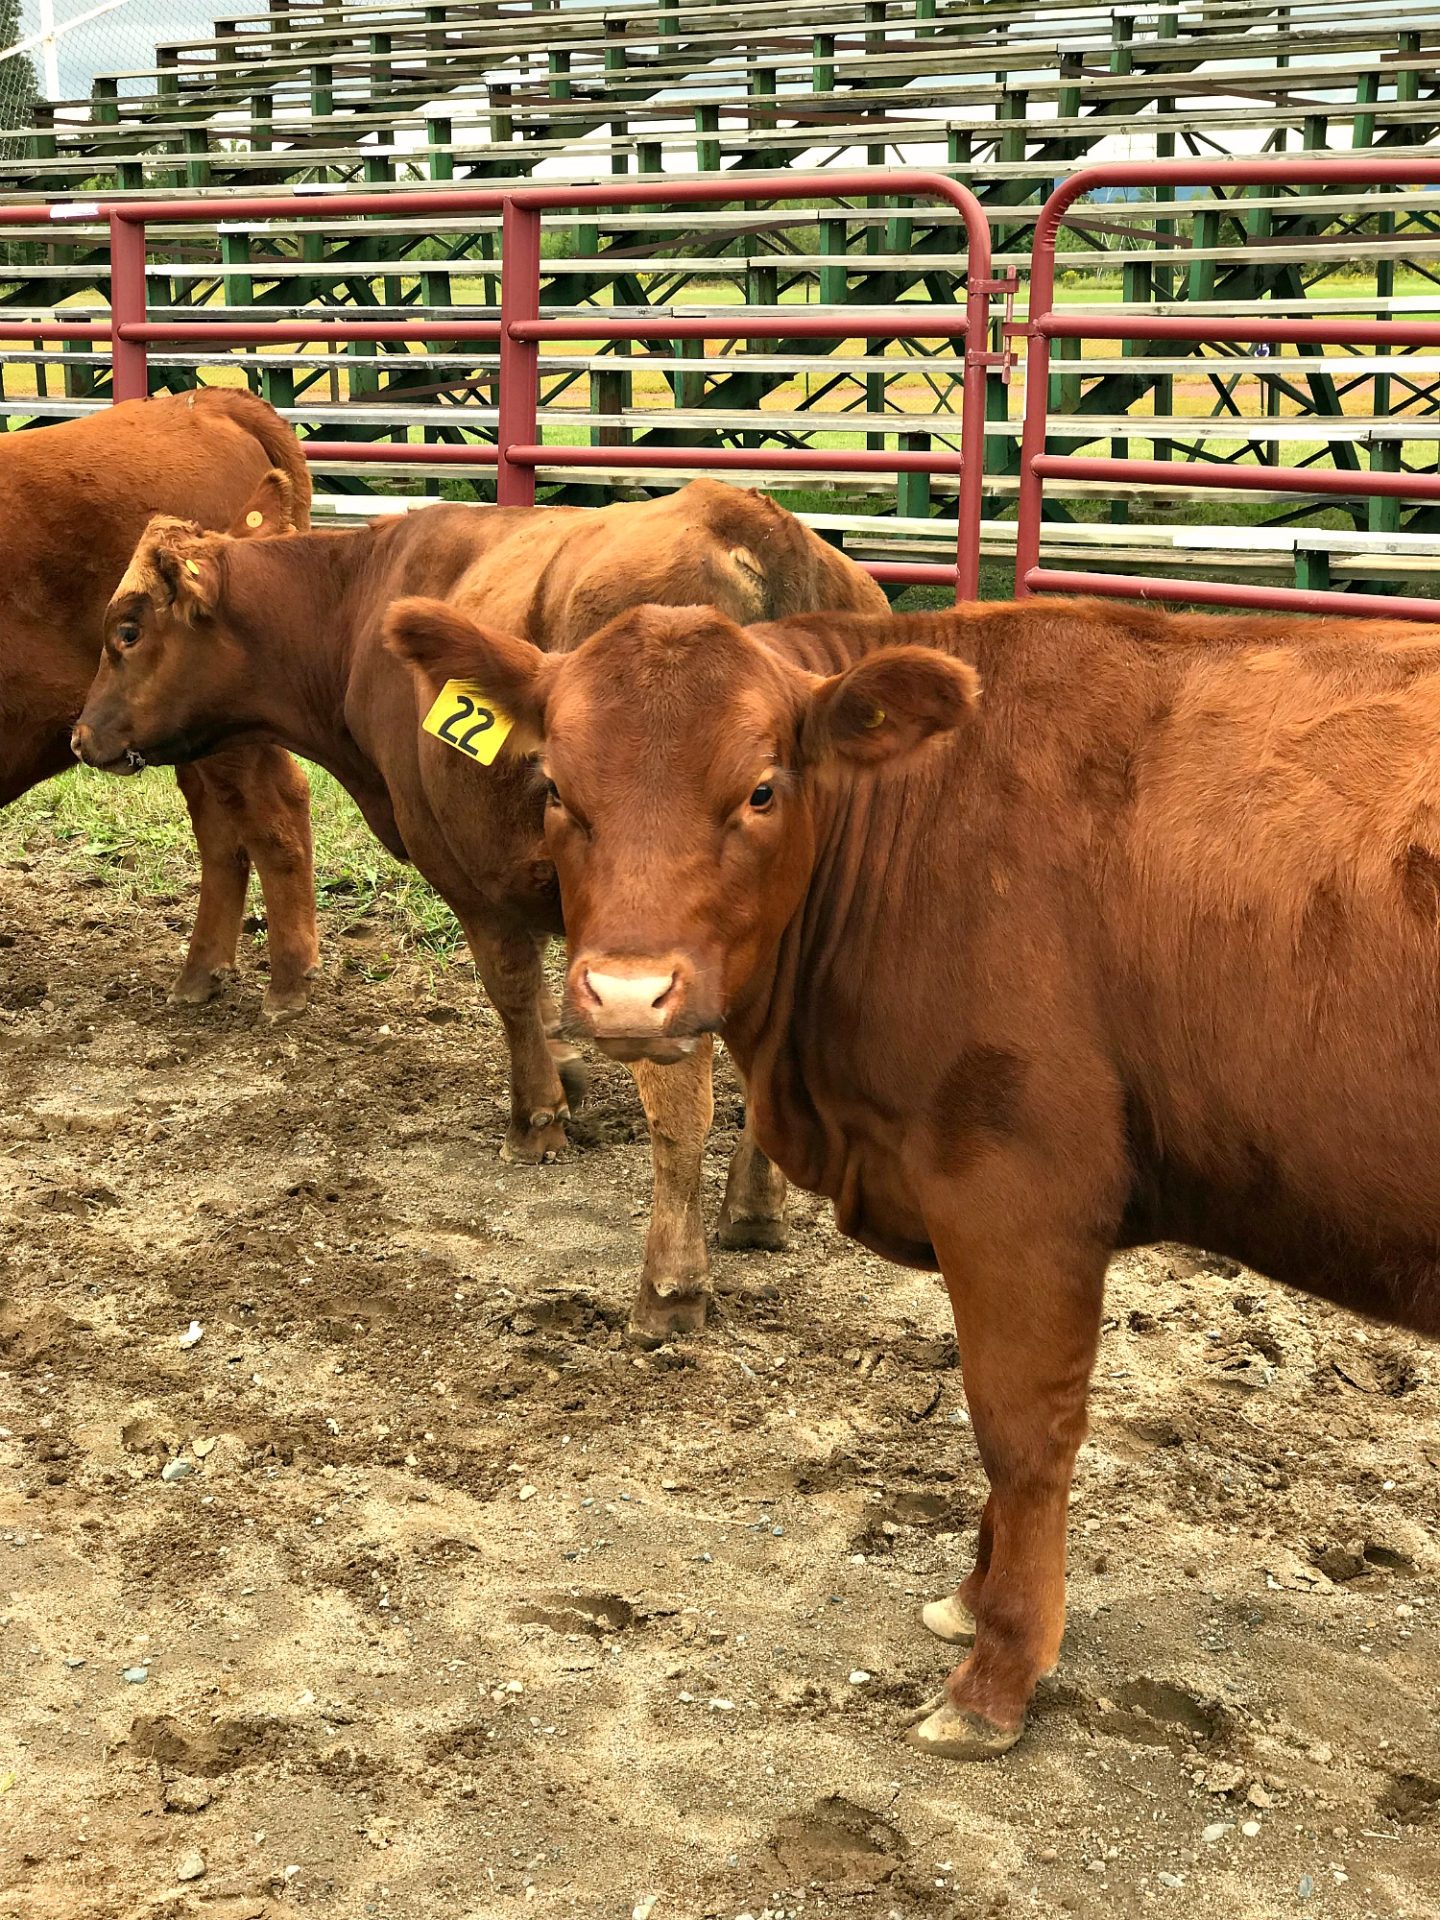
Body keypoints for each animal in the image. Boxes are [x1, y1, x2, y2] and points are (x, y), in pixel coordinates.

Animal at [72, 480, 888, 1340]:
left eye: (127, 630)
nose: (81, 735)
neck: (356, 603)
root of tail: (749, 523)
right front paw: (568, 1077)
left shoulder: (471, 875)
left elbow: (513, 992)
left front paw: (538, 1119)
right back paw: (753, 1209)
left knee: (680, 1102)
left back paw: (672, 1285)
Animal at [381, 589, 1440, 1760]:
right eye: (556, 789)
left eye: (762, 787)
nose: (624, 995)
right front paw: (972, 1603)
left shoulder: (1018, 1190)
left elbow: (1020, 1431)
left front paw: (999, 1671)